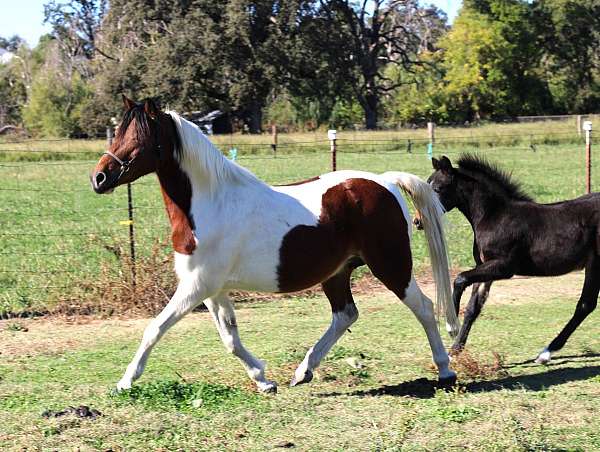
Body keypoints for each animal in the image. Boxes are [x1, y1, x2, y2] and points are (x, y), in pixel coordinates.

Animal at [90, 96, 460, 392]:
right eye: (118, 133)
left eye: (139, 137)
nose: (99, 178)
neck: (211, 204)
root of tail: (385, 181)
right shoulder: (212, 290)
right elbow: (230, 338)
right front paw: (263, 380)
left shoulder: (196, 287)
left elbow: (154, 328)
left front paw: (125, 381)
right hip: (337, 272)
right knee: (345, 315)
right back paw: (302, 372)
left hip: (390, 264)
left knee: (424, 308)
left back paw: (445, 370)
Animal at [428, 155, 596, 364]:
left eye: (437, 188)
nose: (417, 221)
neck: (493, 216)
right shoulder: (484, 266)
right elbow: (473, 308)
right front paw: (455, 350)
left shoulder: (504, 267)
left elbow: (460, 279)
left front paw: (451, 326)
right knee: (587, 305)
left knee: (585, 305)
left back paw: (545, 353)